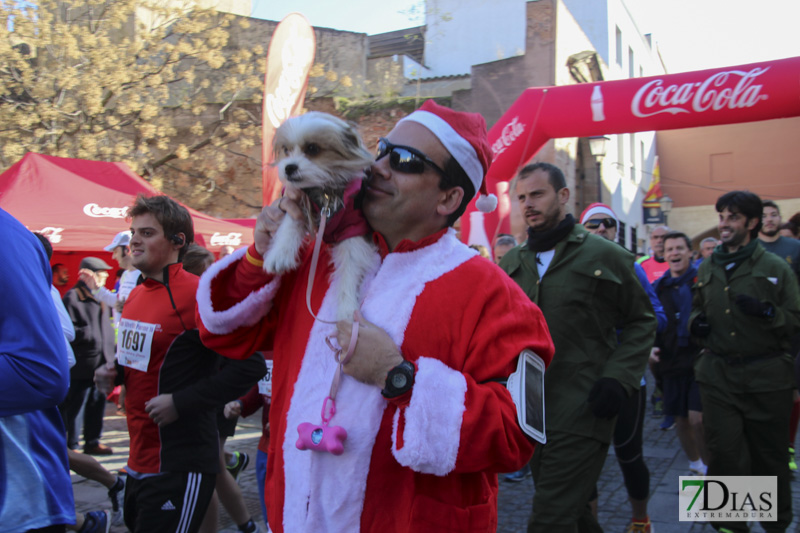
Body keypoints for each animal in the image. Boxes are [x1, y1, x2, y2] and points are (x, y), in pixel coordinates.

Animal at [262, 111, 376, 320]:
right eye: (286, 149)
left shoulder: (353, 228)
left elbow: (350, 269)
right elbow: (290, 226)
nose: (289, 167)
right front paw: (279, 255)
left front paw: (347, 308)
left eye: (313, 148)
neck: (325, 194)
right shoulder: (297, 203)